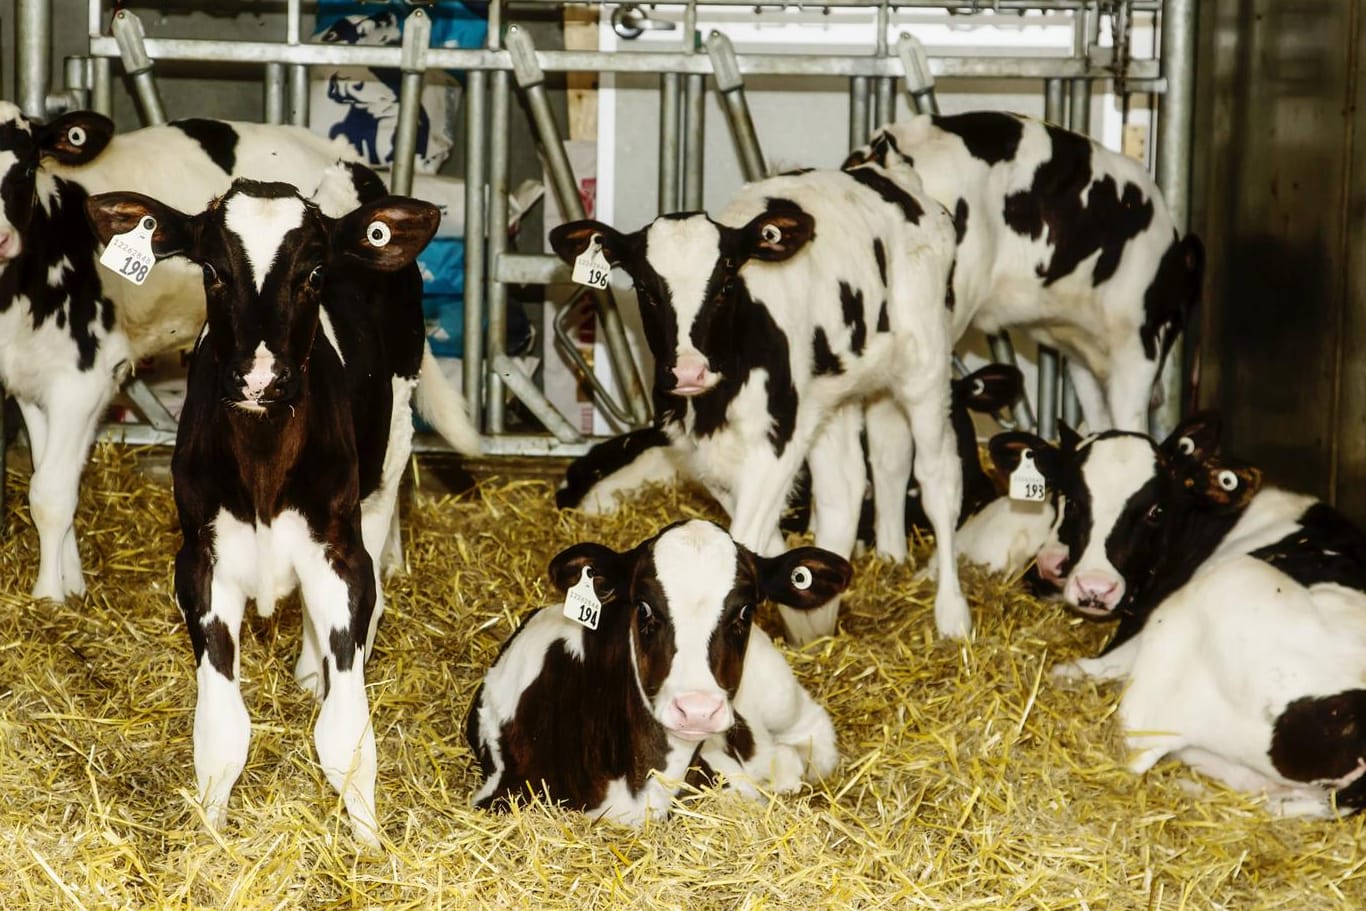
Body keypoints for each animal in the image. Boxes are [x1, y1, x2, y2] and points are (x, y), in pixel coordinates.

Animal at [0, 105, 360, 606]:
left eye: (25, 169)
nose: (0, 239)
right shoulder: (31, 379)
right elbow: (53, 477)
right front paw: (70, 581)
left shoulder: (84, 377)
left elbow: (50, 494)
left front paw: (49, 597)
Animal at [86, 169, 469, 846]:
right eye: (212, 270)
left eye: (316, 273)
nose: (262, 378)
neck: (263, 465)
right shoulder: (200, 562)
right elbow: (221, 730)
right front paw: (212, 835)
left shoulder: (340, 557)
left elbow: (346, 732)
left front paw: (369, 843)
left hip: (389, 453)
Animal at [549, 160, 967, 644]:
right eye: (644, 287)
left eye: (727, 282)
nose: (688, 371)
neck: (711, 403)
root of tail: (891, 175)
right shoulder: (701, 453)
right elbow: (761, 542)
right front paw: (802, 616)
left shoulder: (777, 441)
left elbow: (742, 539)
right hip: (837, 391)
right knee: (857, 479)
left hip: (926, 367)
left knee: (938, 480)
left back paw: (952, 613)